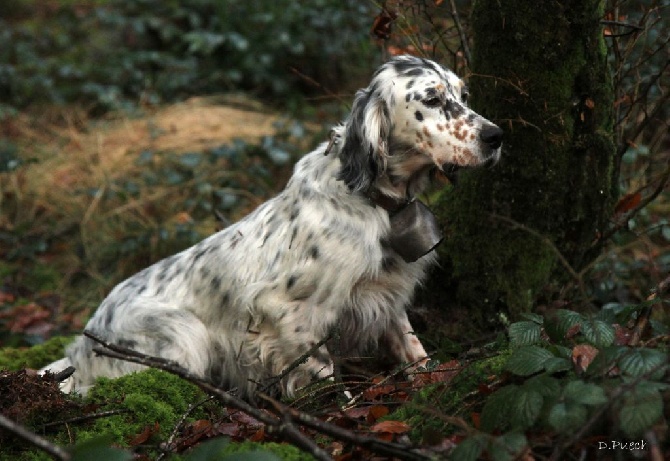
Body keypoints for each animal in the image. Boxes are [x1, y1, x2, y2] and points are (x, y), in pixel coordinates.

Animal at [42, 55, 504, 396]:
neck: (372, 199)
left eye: (463, 94)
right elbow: (324, 376)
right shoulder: (287, 313)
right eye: (433, 99)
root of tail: (82, 344)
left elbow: (412, 346)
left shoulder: (384, 296)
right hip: (182, 335)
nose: (496, 136)